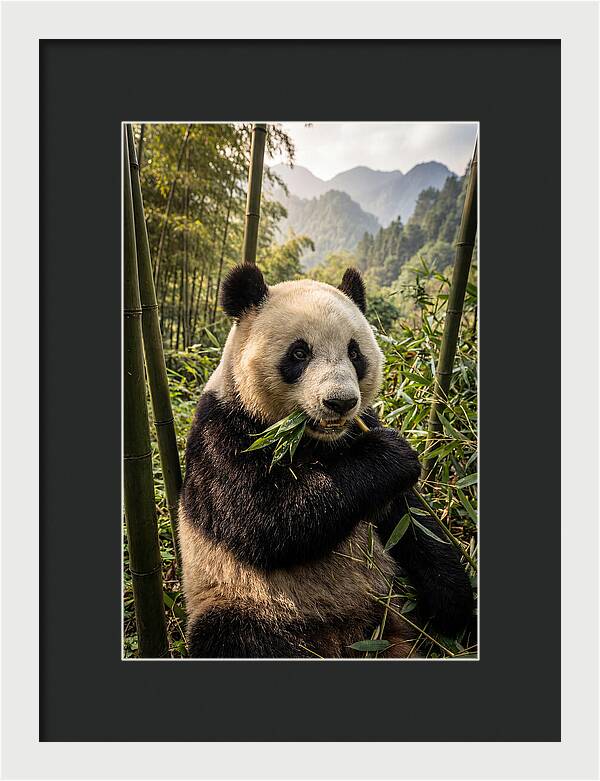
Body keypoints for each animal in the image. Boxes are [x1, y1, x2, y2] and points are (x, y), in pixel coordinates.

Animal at [179, 263, 474, 658]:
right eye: (299, 353)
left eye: (354, 352)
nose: (340, 402)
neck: (313, 440)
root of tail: (344, 637)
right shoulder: (223, 433)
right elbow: (265, 520)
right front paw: (391, 455)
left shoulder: (361, 431)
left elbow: (412, 522)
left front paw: (454, 604)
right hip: (243, 599)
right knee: (233, 636)